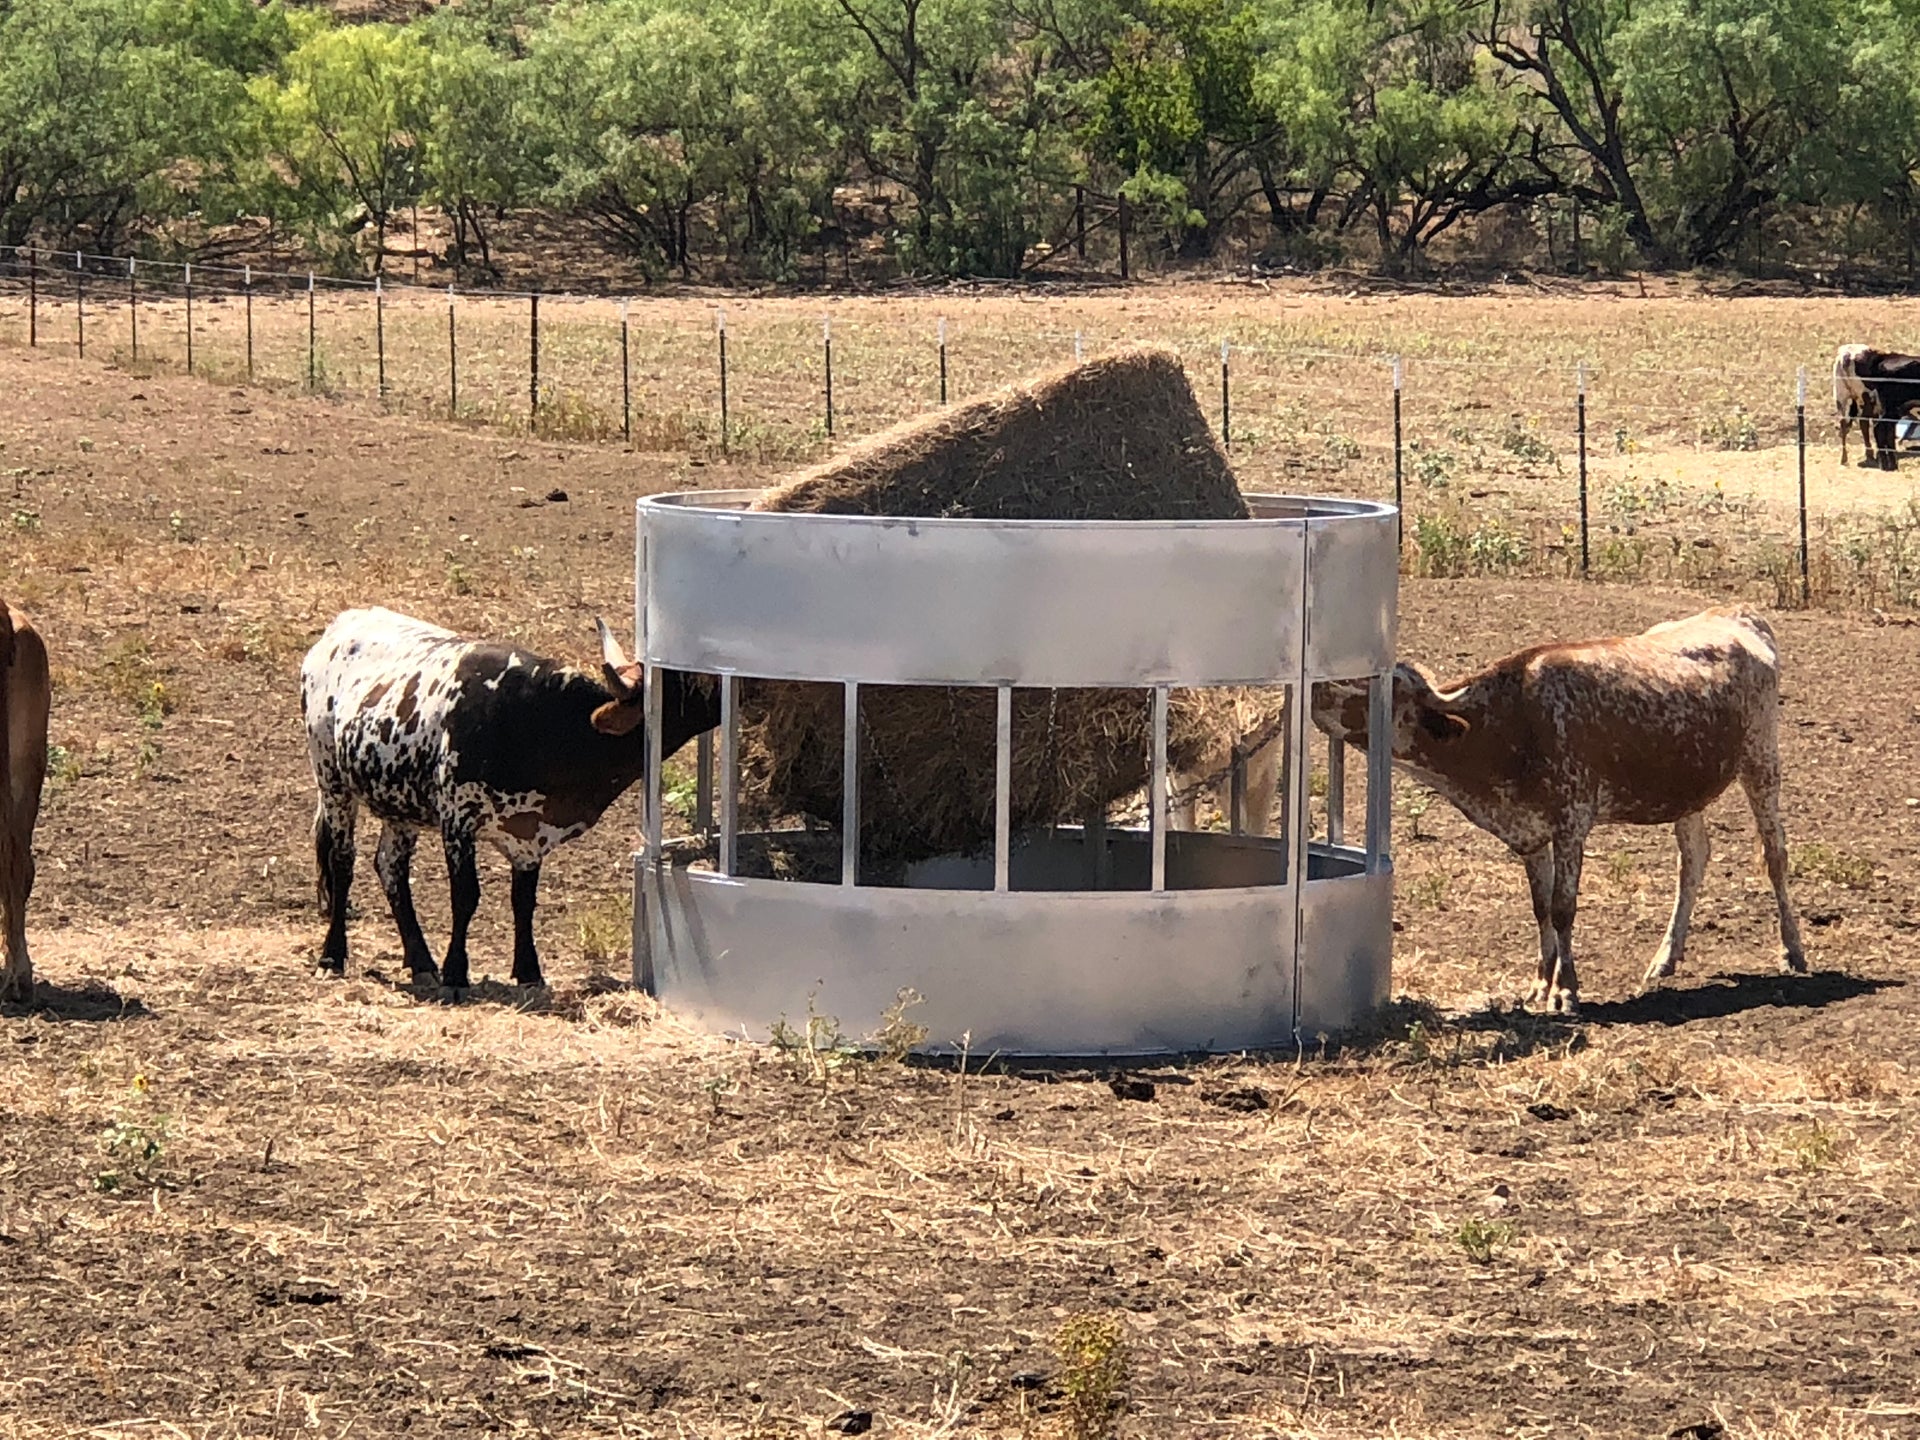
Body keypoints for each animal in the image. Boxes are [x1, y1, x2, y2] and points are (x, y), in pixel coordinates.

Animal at [301, 607, 719, 990]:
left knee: (390, 866)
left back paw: (420, 962)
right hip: (331, 779)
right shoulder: (458, 819)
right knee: (342, 862)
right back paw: (332, 956)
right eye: (688, 682)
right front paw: (456, 973)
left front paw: (528, 971)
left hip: (400, 806)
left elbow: (523, 900)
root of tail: (340, 627)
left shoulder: (530, 835)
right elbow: (466, 895)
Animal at [1313, 607, 1807, 1013]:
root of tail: (1737, 613)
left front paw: (1566, 989)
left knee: (1775, 856)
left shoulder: (1572, 822)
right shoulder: (1531, 835)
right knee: (1694, 859)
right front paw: (1540, 985)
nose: (1318, 694)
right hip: (1686, 789)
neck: (1513, 723)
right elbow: (1541, 908)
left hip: (1762, 761)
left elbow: (1564, 906)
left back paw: (1793, 950)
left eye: (1382, 691)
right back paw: (1665, 958)